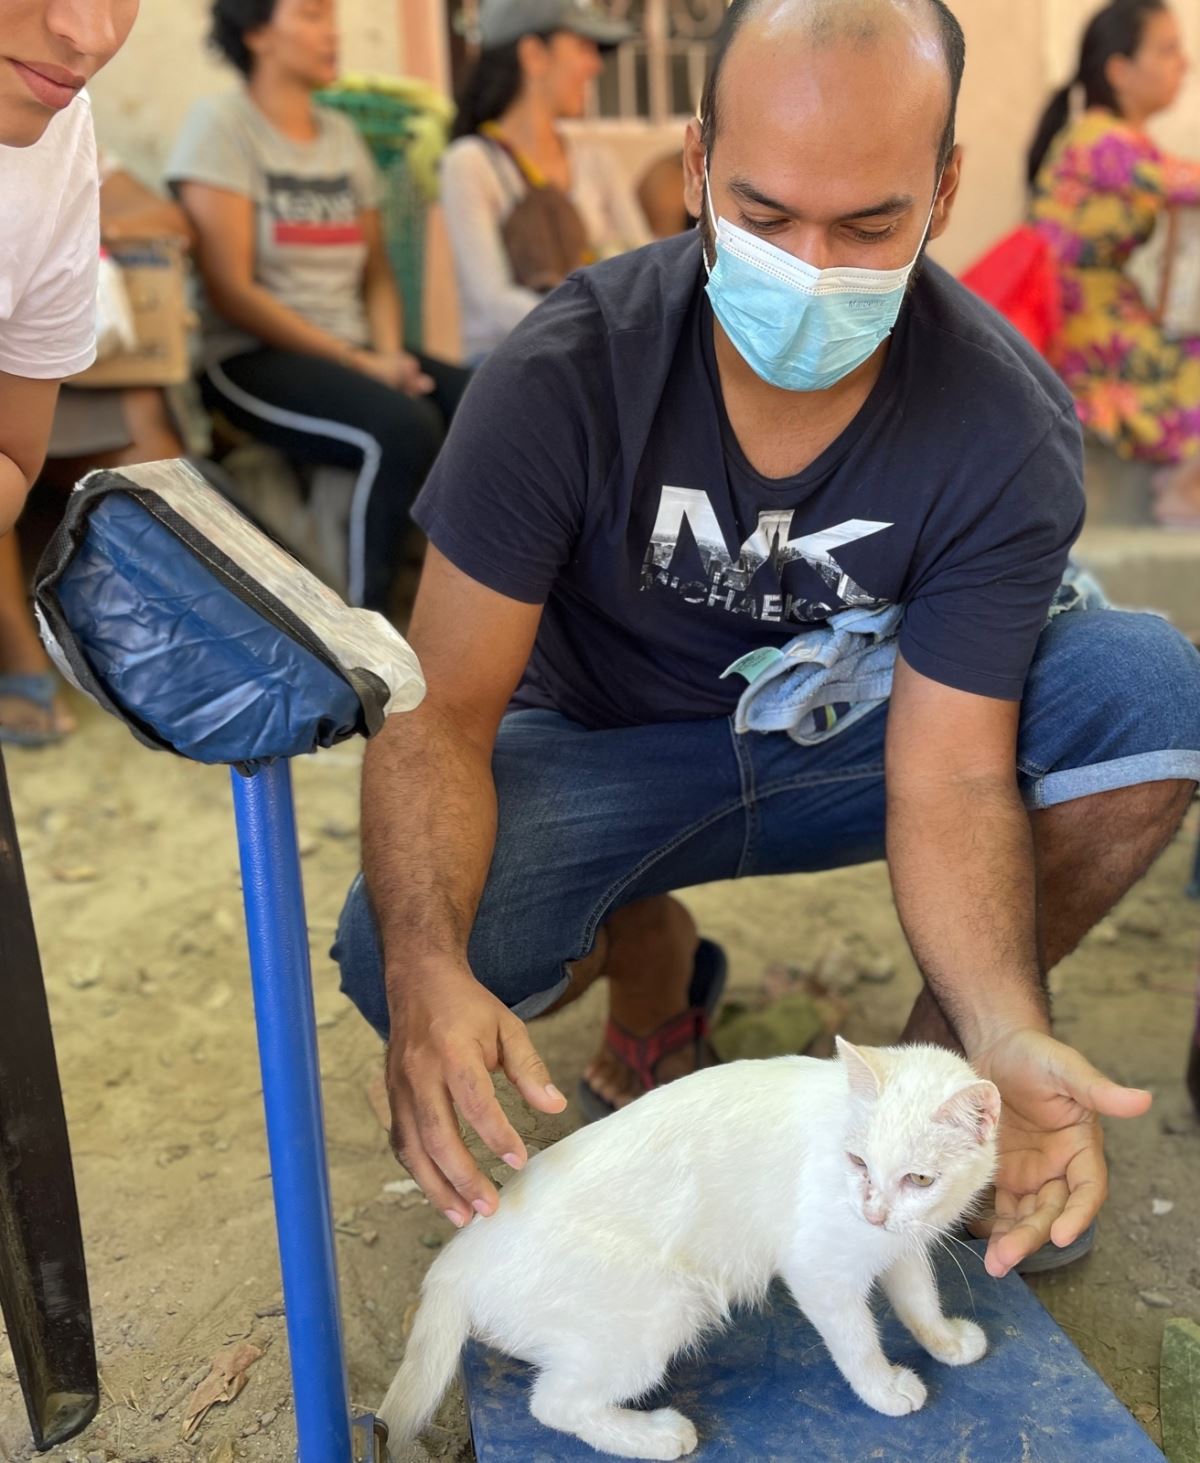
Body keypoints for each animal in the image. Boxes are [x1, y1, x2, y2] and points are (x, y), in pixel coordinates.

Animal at [380, 1035, 1000, 1457]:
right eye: (857, 1162)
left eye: (920, 1180)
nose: (873, 1211)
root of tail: (458, 1256)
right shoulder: (819, 1269)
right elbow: (858, 1342)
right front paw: (883, 1388)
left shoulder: (903, 1244)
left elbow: (919, 1299)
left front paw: (945, 1342)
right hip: (669, 1306)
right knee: (551, 1403)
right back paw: (656, 1436)